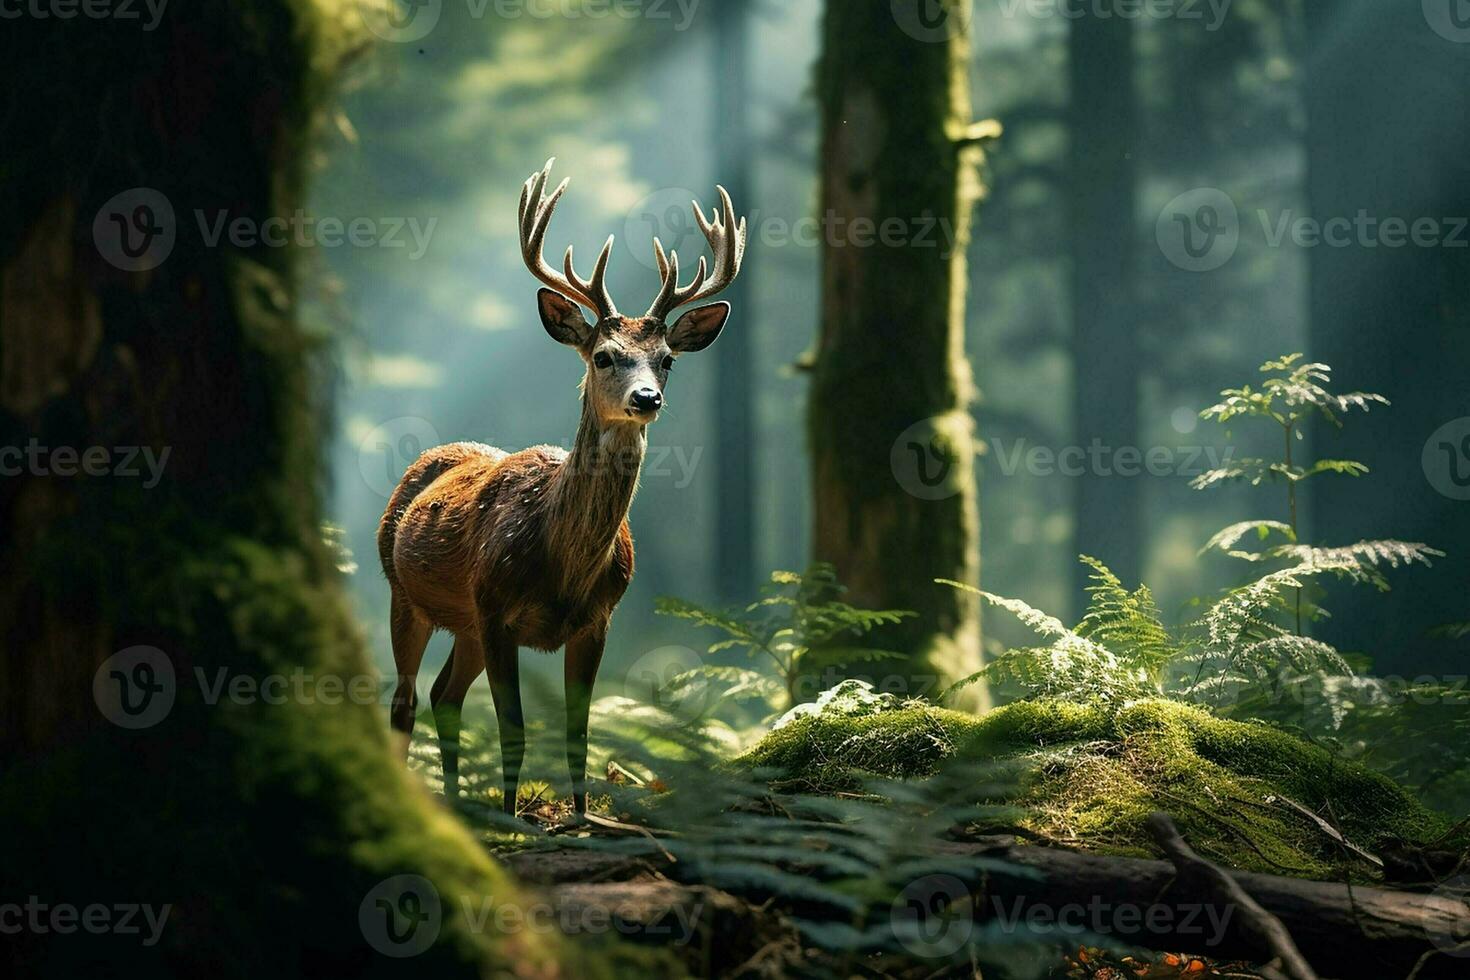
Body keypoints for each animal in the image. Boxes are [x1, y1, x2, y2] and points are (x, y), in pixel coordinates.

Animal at [379, 160, 746, 816]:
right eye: (604, 356)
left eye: (668, 359)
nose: (646, 399)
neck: (564, 567)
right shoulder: (496, 608)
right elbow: (515, 730)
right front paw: (512, 820)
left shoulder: (597, 621)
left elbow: (579, 730)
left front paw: (580, 817)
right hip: (402, 591)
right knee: (405, 701)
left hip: (465, 623)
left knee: (445, 695)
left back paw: (454, 799)